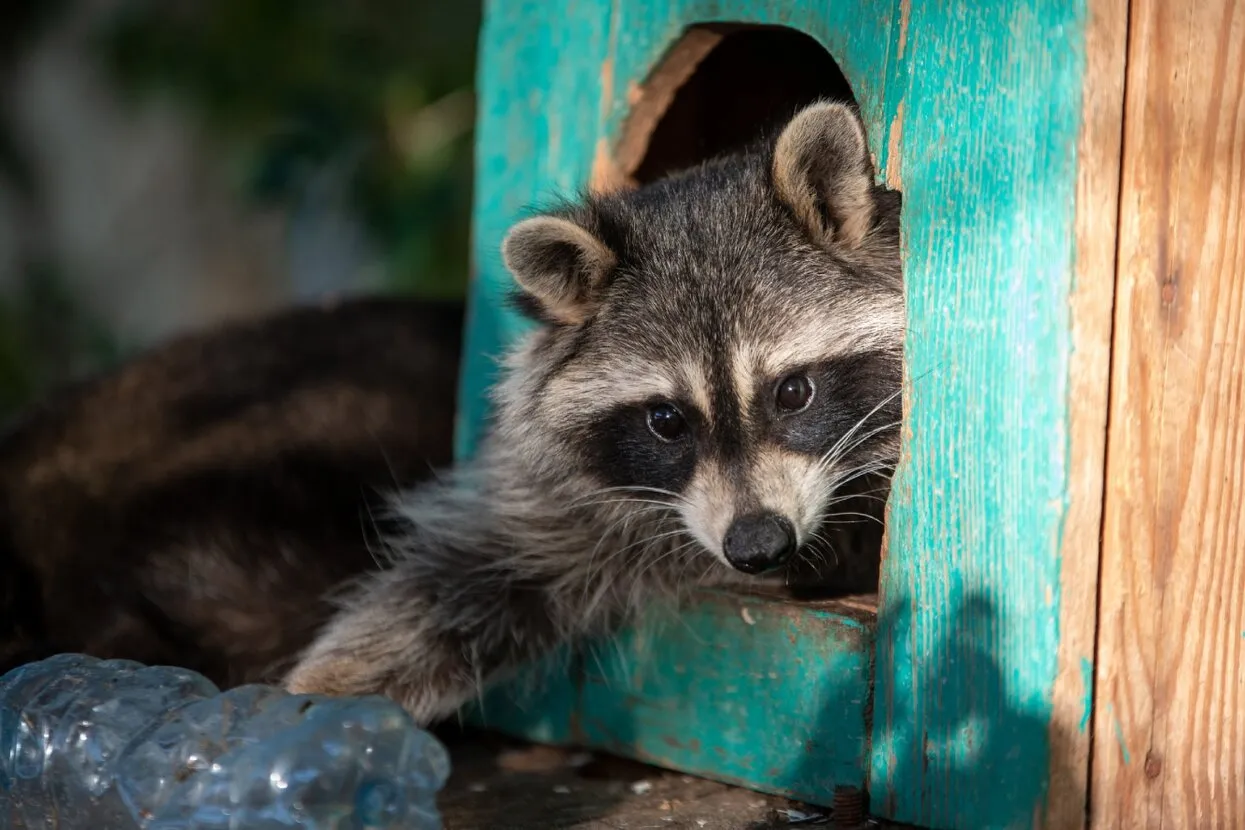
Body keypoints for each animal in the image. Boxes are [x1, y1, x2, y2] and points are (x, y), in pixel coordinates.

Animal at [285, 102, 901, 726]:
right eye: (666, 420)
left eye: (794, 392)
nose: (757, 545)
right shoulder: (557, 494)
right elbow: (474, 572)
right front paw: (328, 686)